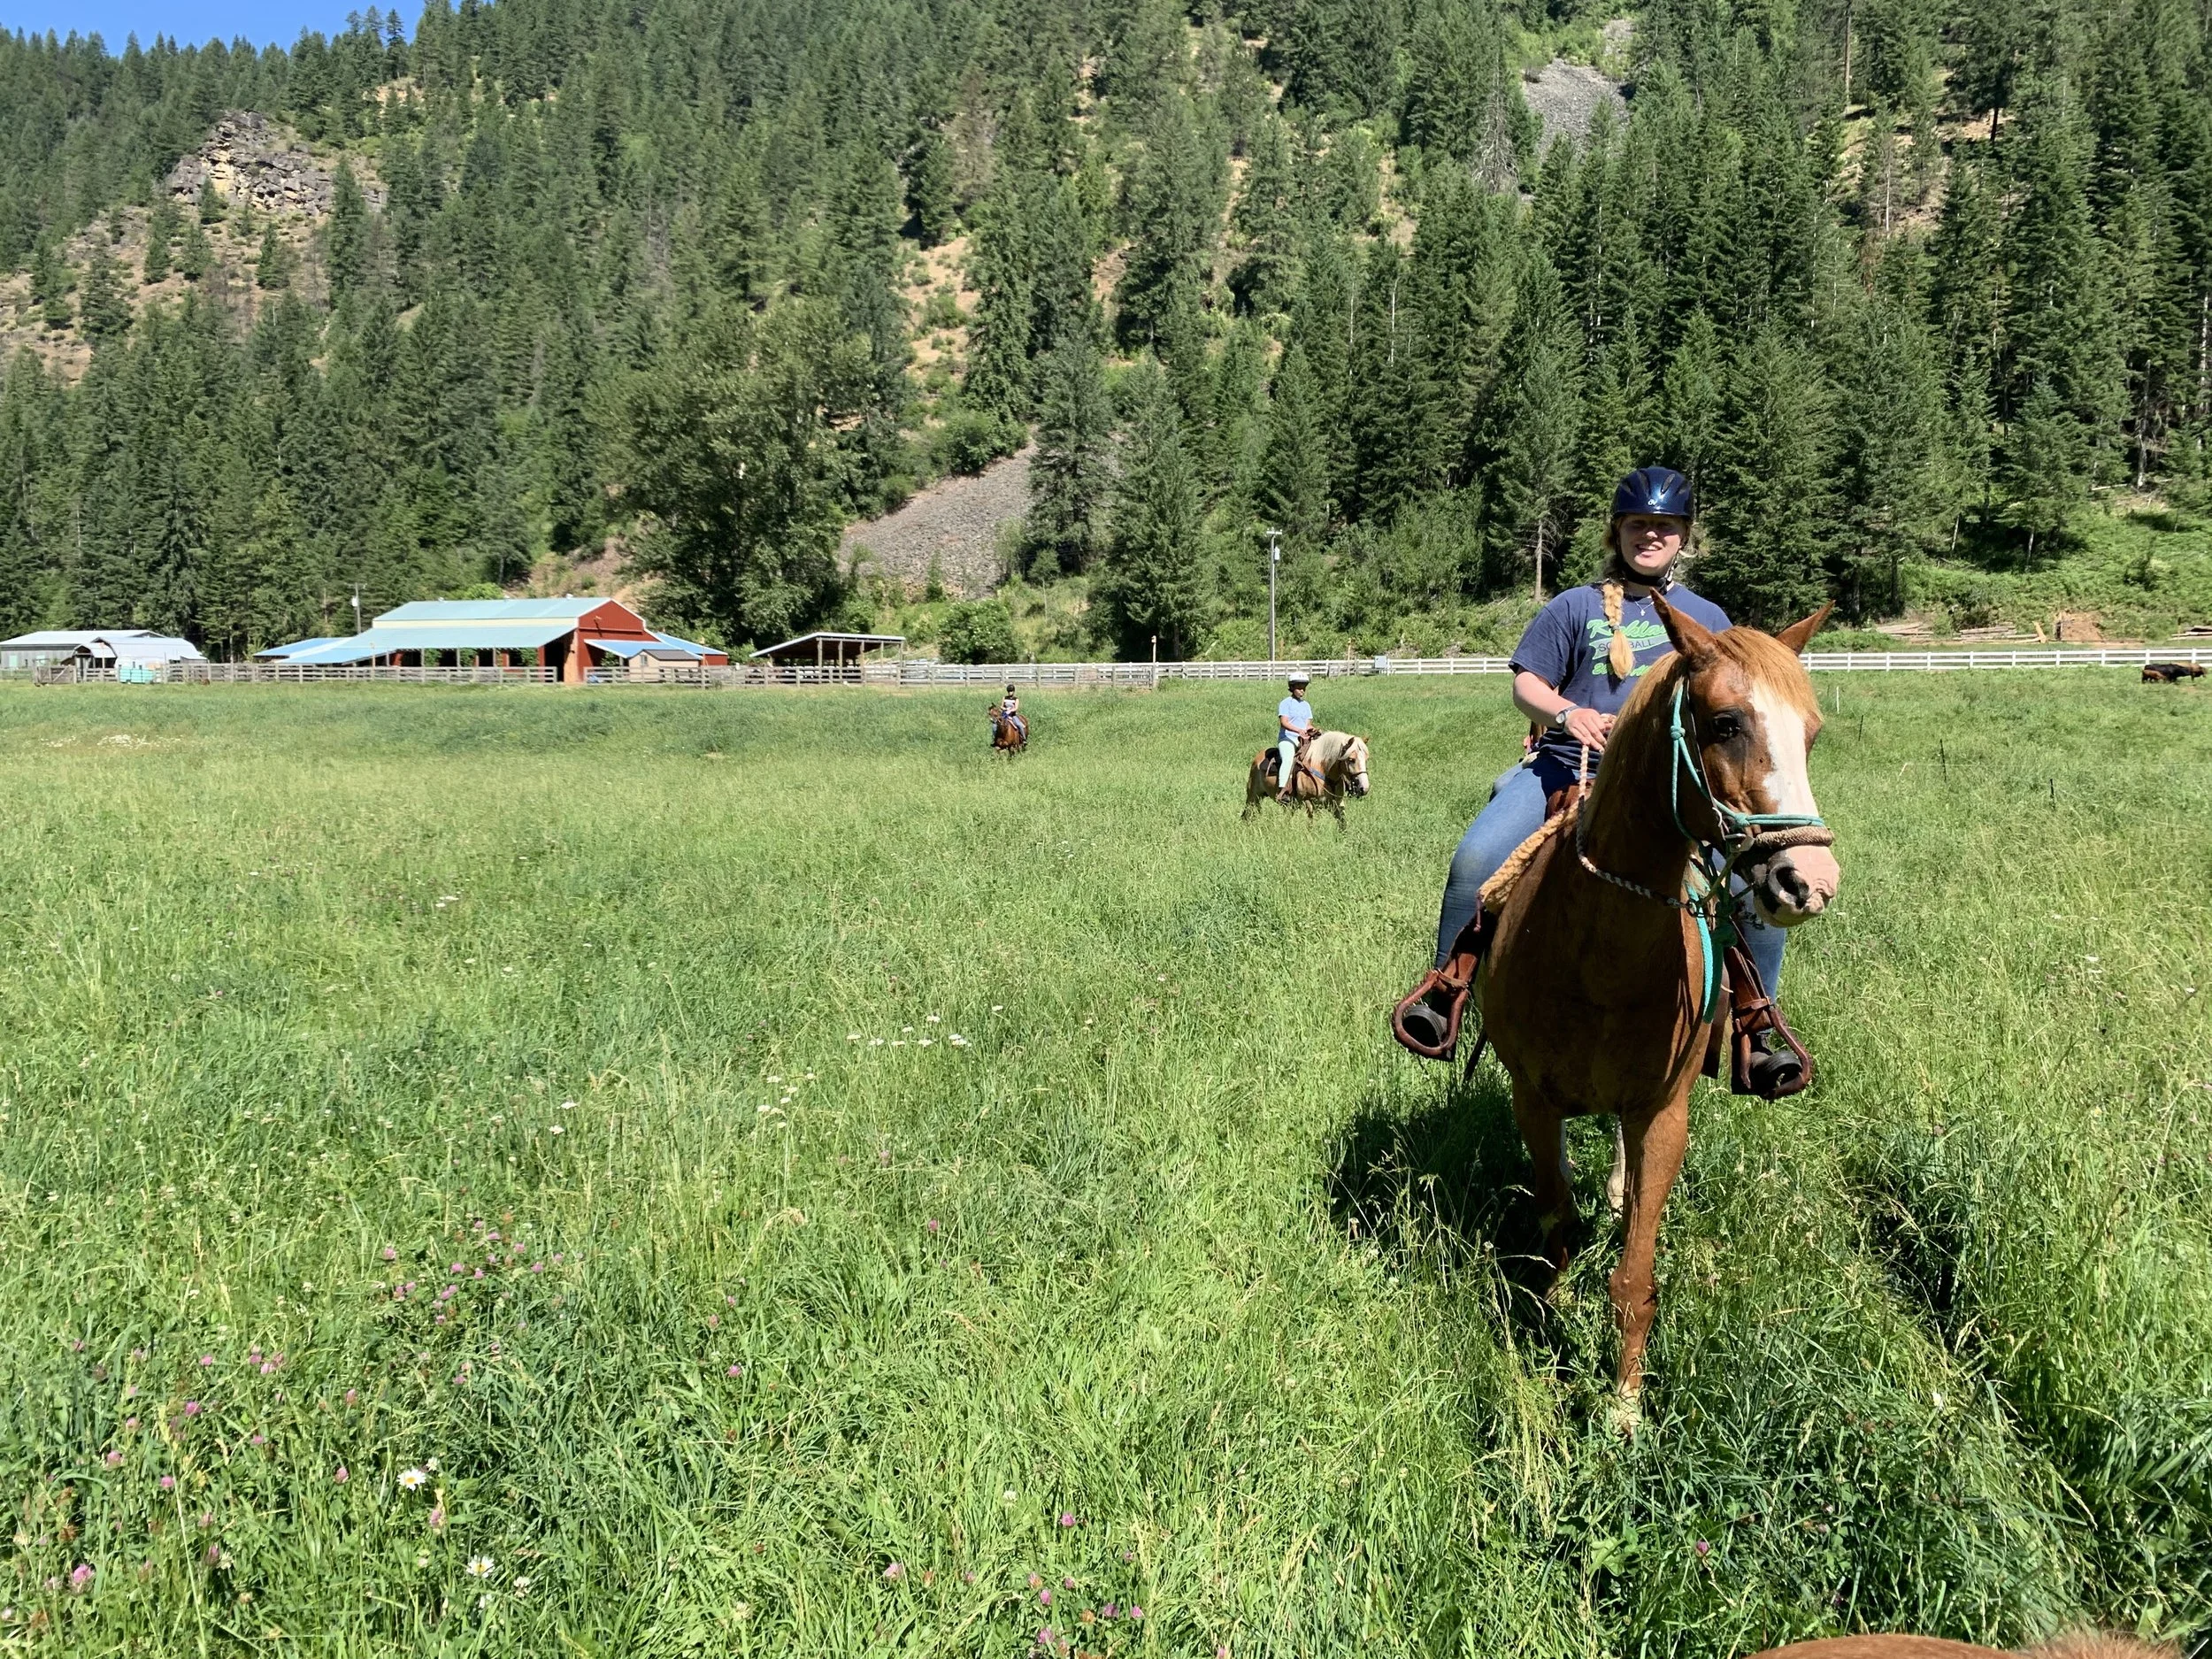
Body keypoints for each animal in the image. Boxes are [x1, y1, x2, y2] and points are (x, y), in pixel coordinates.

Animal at [1243, 731, 1371, 826]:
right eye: (1351, 759)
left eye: (1366, 759)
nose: (1364, 788)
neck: (1323, 769)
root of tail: (1258, 758)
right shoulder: (1308, 801)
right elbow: (1312, 823)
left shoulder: (1337, 803)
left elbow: (1343, 823)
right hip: (1253, 796)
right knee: (1247, 814)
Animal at [1478, 598, 1841, 1425]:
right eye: (1726, 722)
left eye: (1810, 733)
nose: (1811, 880)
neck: (1599, 952)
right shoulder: (1532, 1099)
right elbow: (1557, 1225)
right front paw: (1552, 1318)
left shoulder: (1663, 1112)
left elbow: (1635, 1272)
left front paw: (1624, 1405)